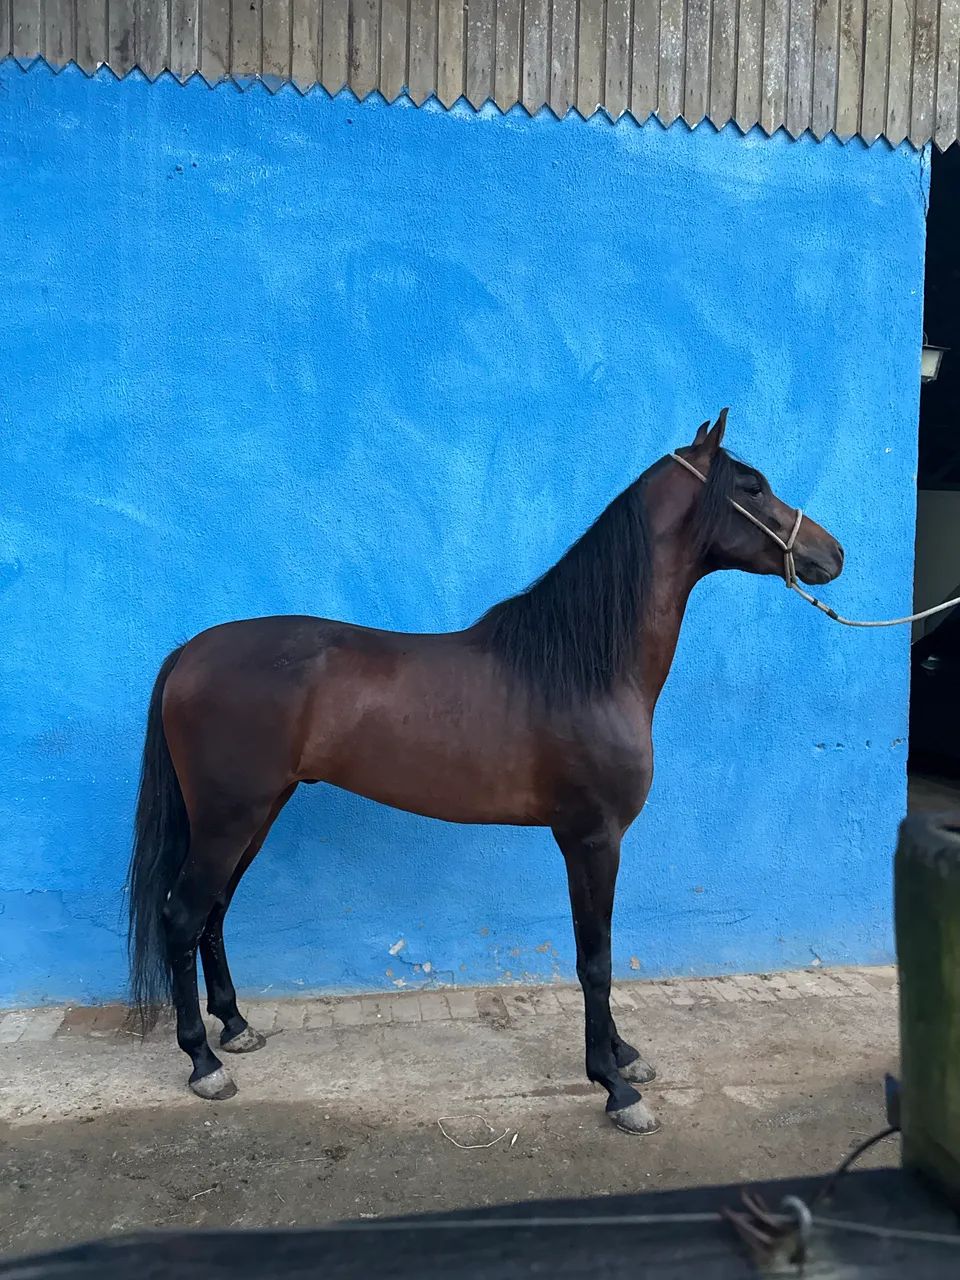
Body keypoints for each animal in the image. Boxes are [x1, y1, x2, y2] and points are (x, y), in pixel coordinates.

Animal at [128, 410, 843, 1135]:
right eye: (751, 488)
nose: (833, 553)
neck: (584, 668)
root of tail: (190, 652)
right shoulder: (592, 838)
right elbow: (596, 959)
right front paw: (615, 1086)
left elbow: (600, 952)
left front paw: (625, 1056)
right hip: (229, 817)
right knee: (182, 915)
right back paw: (204, 1063)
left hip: (259, 812)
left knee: (214, 912)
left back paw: (236, 1026)